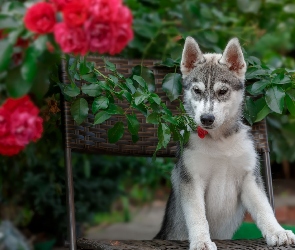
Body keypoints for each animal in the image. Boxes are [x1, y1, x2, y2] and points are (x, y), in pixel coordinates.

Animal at [155, 37, 295, 250]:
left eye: (222, 91)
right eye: (197, 90)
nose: (206, 119)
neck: (220, 141)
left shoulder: (249, 177)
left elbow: (264, 208)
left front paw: (277, 232)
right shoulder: (191, 178)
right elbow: (197, 215)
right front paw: (202, 241)